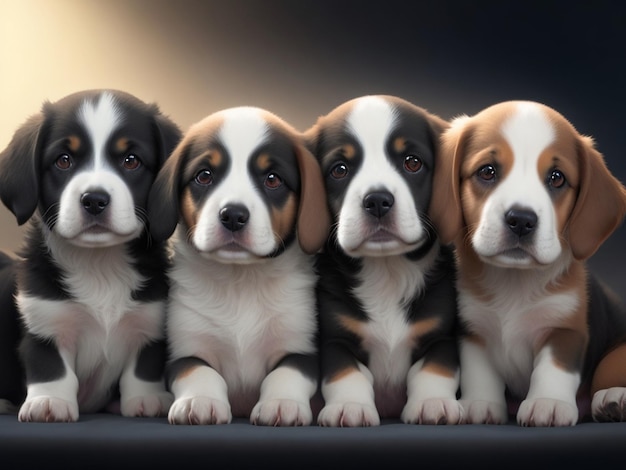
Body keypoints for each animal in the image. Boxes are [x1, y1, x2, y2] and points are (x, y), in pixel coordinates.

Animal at [0, 88, 180, 422]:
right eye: (64, 160)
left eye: (131, 161)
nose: (94, 200)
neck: (99, 264)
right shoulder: (45, 321)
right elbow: (50, 368)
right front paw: (49, 402)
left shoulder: (150, 321)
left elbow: (144, 367)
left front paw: (147, 399)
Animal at [147, 105, 330, 426]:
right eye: (204, 176)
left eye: (272, 179)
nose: (232, 215)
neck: (241, 281)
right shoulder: (183, 350)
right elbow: (200, 372)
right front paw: (200, 400)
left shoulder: (301, 348)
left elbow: (285, 374)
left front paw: (281, 403)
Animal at [304, 94, 460, 426]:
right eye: (339, 169)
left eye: (412, 162)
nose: (377, 201)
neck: (388, 271)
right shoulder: (336, 337)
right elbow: (346, 373)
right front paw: (350, 406)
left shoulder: (442, 334)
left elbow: (434, 369)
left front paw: (432, 403)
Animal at [428, 99, 626, 426]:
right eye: (487, 171)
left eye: (557, 178)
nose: (521, 220)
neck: (515, 281)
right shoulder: (473, 328)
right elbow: (479, 372)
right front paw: (480, 404)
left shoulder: (565, 329)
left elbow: (553, 368)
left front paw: (548, 403)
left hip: (614, 356)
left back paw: (614, 398)